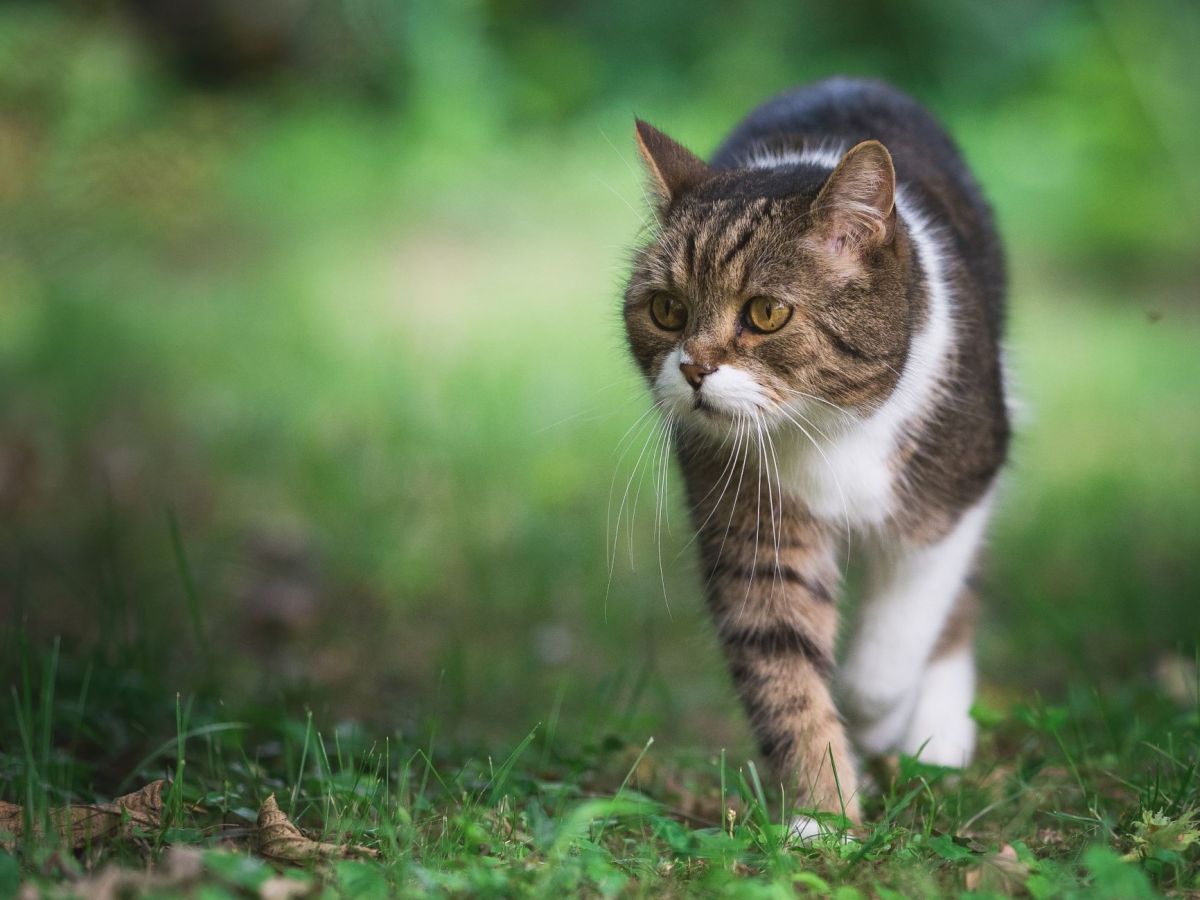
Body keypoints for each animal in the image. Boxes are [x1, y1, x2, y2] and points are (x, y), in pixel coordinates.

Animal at [624, 79, 1008, 840]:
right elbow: (783, 669)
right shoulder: (753, 527)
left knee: (955, 607)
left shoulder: (954, 491)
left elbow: (888, 658)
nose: (693, 369)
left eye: (766, 313)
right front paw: (822, 818)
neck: (826, 427)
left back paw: (938, 739)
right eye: (666, 309)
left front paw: (882, 726)